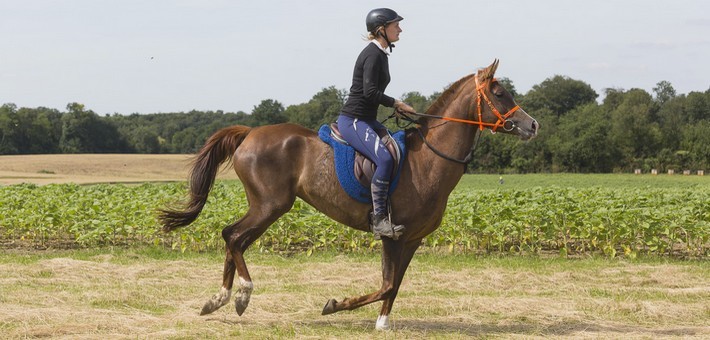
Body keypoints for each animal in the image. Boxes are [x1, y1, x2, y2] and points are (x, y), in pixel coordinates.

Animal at [160, 59, 540, 330]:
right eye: (500, 93)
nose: (532, 125)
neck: (430, 160)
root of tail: (250, 133)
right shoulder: (392, 235)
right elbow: (386, 284)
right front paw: (334, 306)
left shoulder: (412, 239)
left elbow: (394, 285)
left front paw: (382, 323)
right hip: (270, 205)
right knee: (233, 237)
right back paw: (241, 295)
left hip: (267, 208)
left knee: (234, 238)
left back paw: (218, 300)